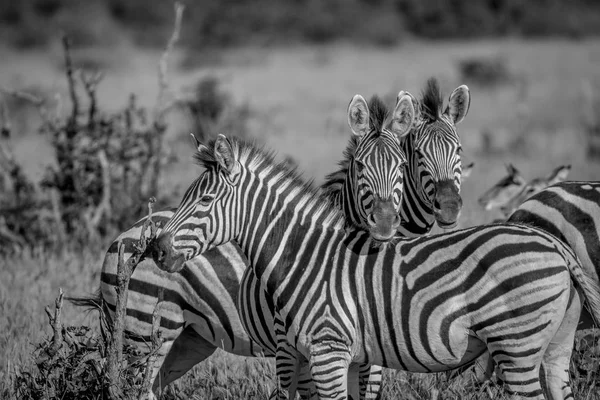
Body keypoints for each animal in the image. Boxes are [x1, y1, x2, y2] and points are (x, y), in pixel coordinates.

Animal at [75, 91, 418, 400]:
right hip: (143, 332)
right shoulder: (295, 344)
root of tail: (123, 237)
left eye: (402, 166)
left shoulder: (367, 354)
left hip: (189, 338)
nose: (384, 223)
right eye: (360, 166)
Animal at [152, 135, 600, 400]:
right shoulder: (343, 357)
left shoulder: (328, 353)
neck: (307, 258)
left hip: (516, 344)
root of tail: (554, 243)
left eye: (204, 201)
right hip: (555, 345)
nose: (156, 249)